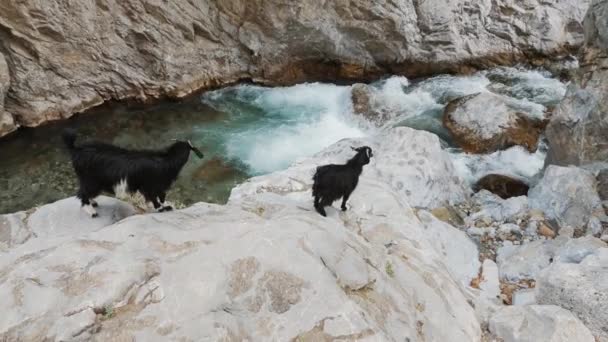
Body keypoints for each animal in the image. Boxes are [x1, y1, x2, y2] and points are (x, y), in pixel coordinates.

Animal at [62, 130, 204, 218]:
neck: (166, 160)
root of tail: (75, 149)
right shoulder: (151, 186)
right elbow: (154, 198)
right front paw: (161, 209)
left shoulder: (160, 186)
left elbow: (162, 197)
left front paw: (166, 206)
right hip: (91, 179)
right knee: (82, 193)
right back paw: (91, 211)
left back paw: (93, 203)